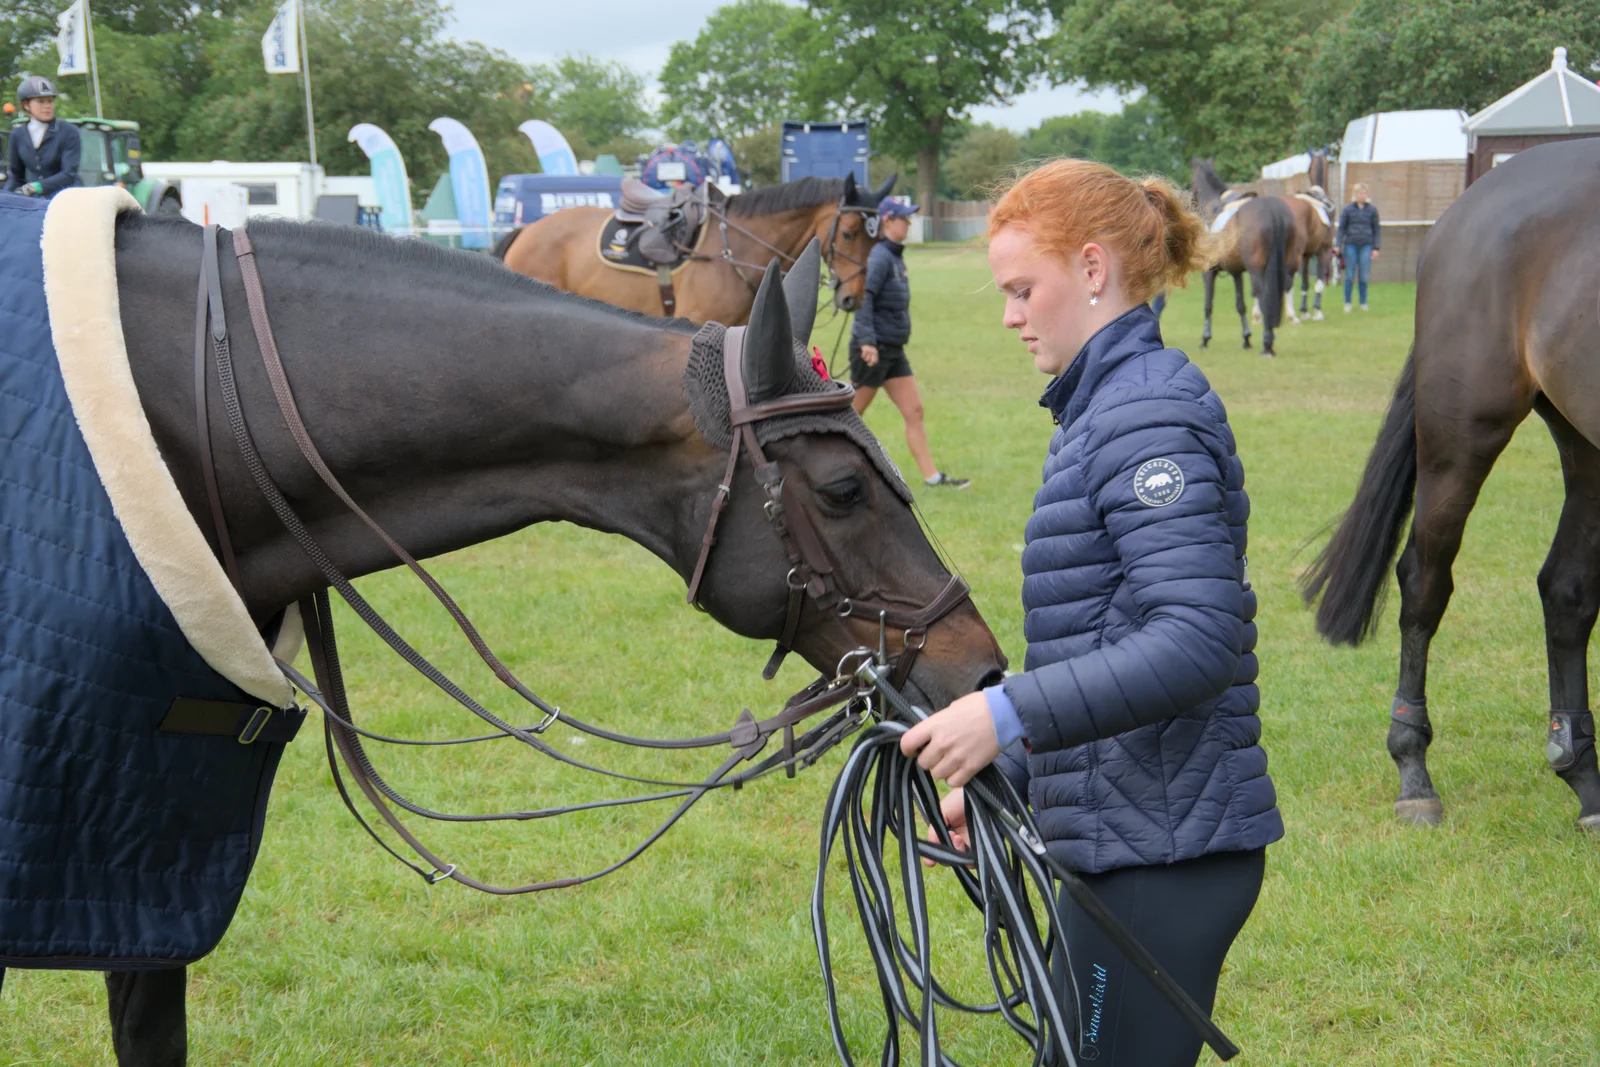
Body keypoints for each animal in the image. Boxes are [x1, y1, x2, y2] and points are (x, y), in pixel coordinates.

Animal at [1190, 157, 1299, 358]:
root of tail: (1273, 210)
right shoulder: (1236, 272)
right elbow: (1240, 305)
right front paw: (1246, 338)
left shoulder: (1209, 272)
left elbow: (1208, 305)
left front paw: (1205, 338)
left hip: (1257, 270)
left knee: (1263, 296)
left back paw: (1267, 343)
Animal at [1305, 135, 1600, 831]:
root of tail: (1462, 212)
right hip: (1463, 436)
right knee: (1424, 580)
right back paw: (1414, 773)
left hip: (1584, 441)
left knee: (1568, 590)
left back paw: (1584, 778)